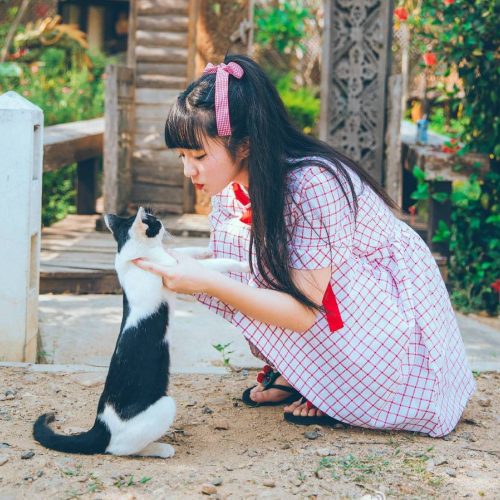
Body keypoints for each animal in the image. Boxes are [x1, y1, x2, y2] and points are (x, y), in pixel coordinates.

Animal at [33, 206, 248, 458]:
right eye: (154, 221)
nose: (163, 222)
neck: (133, 254)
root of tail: (100, 427)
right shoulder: (173, 269)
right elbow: (211, 266)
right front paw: (241, 264)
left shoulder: (171, 258)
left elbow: (184, 252)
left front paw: (205, 249)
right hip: (164, 406)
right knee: (120, 449)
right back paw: (161, 448)